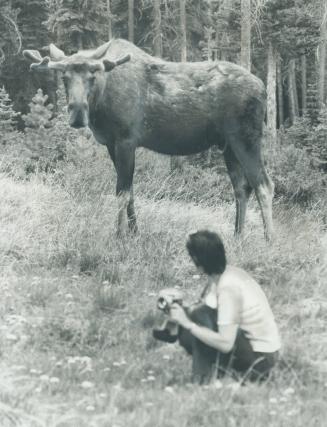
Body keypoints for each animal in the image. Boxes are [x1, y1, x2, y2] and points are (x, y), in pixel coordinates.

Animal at [23, 39, 274, 241]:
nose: (77, 113)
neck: (100, 104)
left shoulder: (126, 140)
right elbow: (131, 192)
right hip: (228, 146)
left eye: (92, 76)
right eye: (64, 77)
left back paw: (268, 240)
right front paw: (135, 233)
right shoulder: (111, 144)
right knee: (241, 188)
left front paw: (119, 236)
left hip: (246, 138)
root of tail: (263, 88)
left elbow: (122, 193)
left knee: (264, 185)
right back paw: (237, 237)